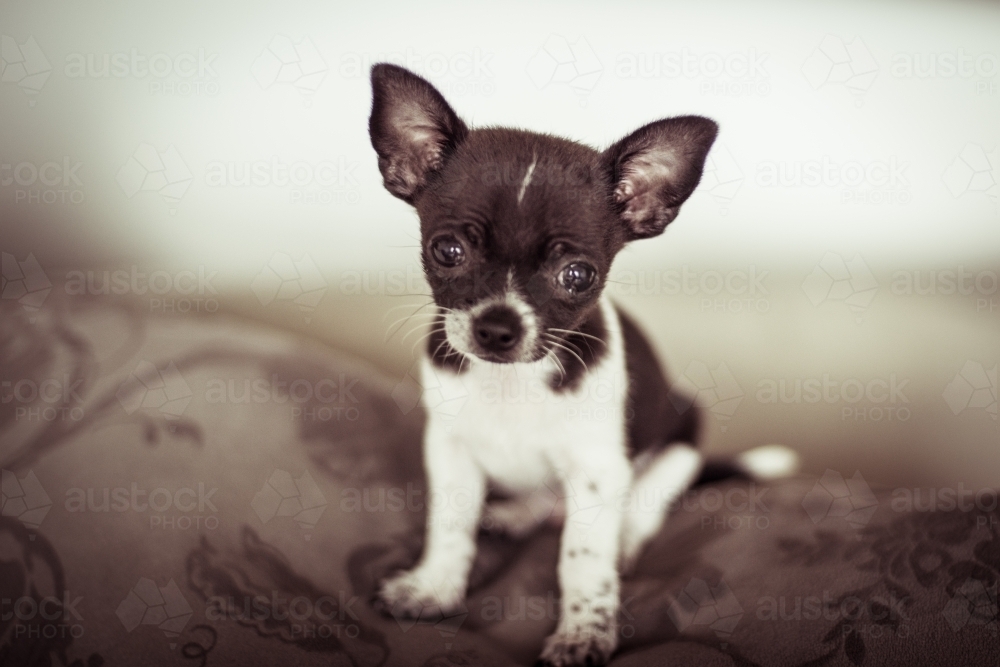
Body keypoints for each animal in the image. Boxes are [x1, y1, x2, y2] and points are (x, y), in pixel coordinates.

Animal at [366, 64, 788, 667]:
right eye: (447, 251)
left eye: (577, 275)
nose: (497, 328)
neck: (512, 383)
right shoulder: (450, 450)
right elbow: (449, 525)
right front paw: (433, 587)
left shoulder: (596, 472)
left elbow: (582, 557)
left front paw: (584, 630)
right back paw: (519, 513)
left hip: (682, 436)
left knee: (648, 499)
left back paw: (625, 537)